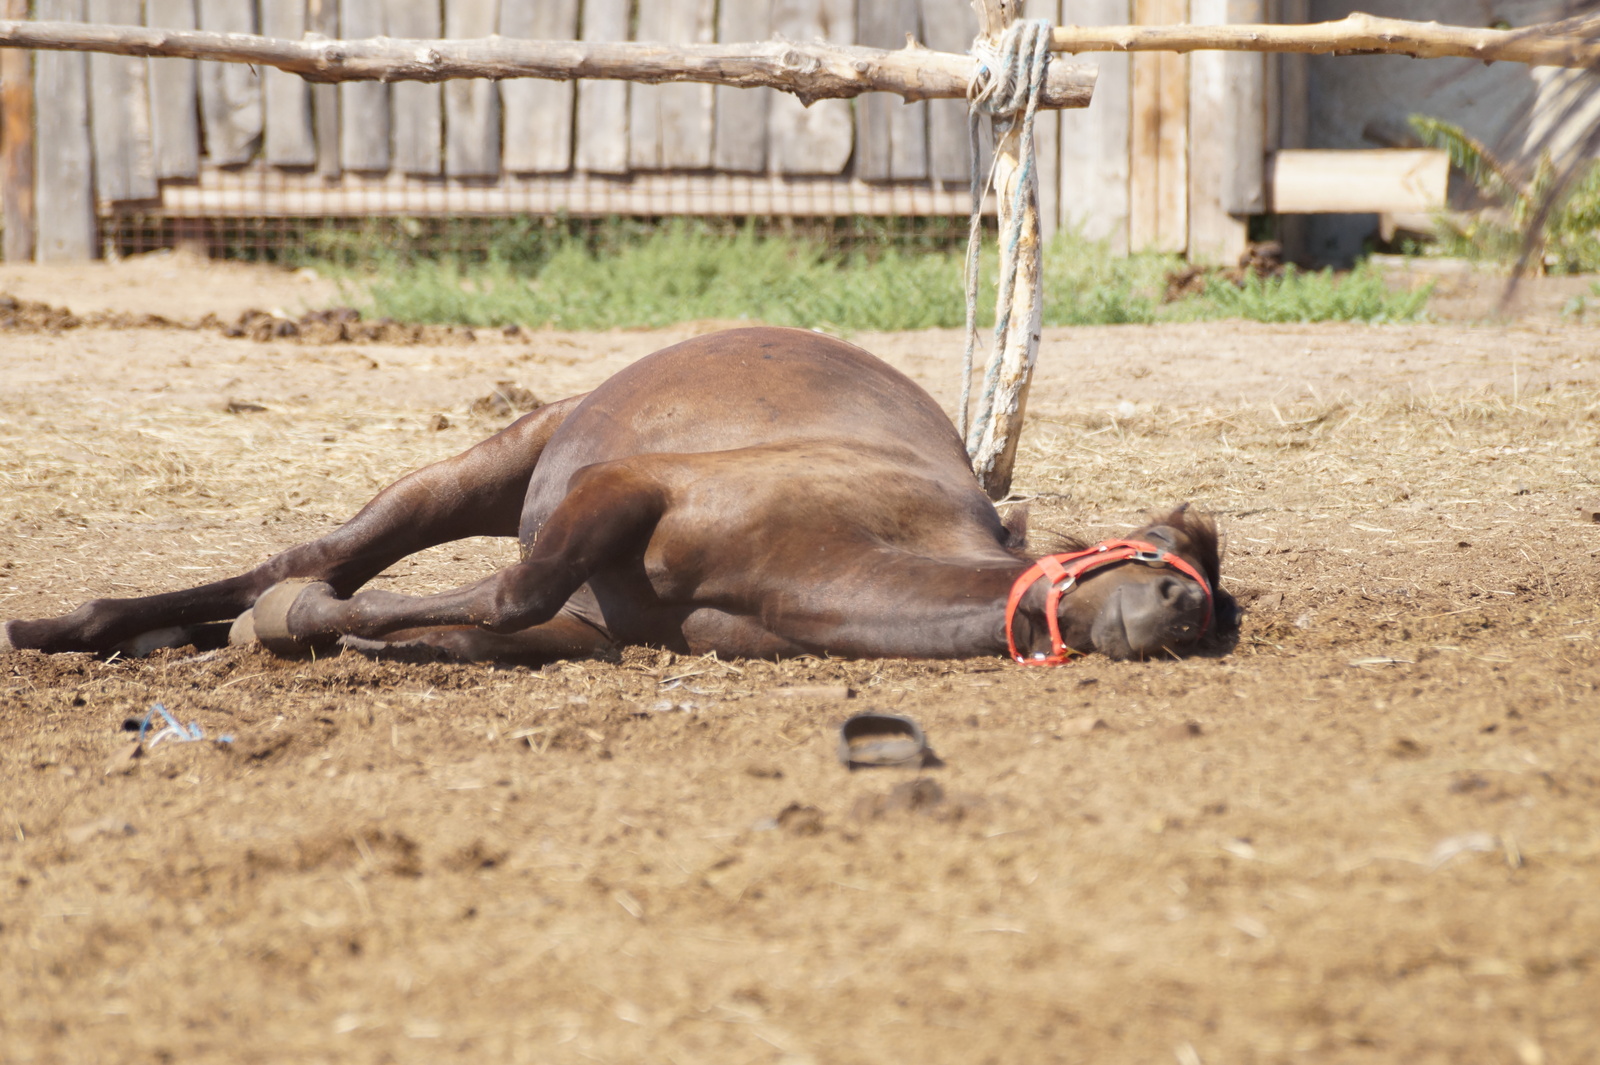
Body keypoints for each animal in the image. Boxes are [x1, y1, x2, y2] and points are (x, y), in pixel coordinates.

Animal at [0, 327, 1235, 658]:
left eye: (1209, 586)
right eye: (1152, 541)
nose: (1180, 606)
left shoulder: (600, 632)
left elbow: (501, 624)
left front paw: (357, 641)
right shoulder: (621, 490)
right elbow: (512, 587)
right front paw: (296, 626)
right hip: (474, 472)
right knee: (310, 557)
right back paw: (83, 625)